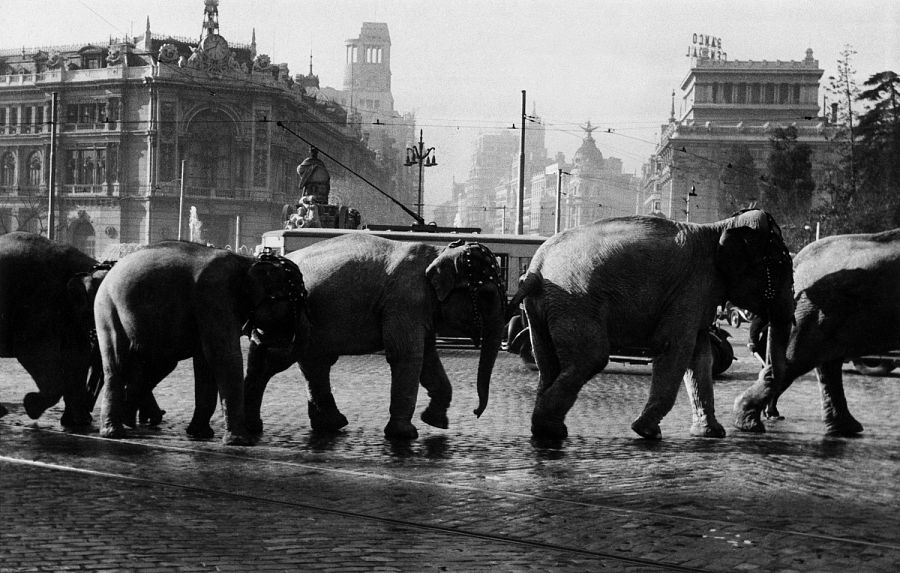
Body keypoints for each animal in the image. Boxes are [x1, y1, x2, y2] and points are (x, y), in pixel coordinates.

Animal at [93, 239, 308, 444]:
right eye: (296, 301)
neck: (247, 261)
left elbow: (205, 363)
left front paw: (200, 434)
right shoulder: (214, 296)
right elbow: (223, 356)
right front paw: (241, 441)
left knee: (156, 365)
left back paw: (128, 420)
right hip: (108, 310)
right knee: (118, 364)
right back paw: (114, 432)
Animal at [243, 232, 510, 438]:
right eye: (486, 295)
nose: (476, 413)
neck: (438, 252)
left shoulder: (421, 310)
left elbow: (427, 357)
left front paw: (435, 421)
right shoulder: (405, 301)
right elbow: (407, 354)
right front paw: (406, 434)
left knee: (309, 362)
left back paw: (327, 425)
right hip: (286, 317)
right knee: (285, 359)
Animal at [512, 209, 796, 438]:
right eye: (781, 264)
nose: (756, 425)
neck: (721, 226)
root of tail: (536, 269)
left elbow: (700, 357)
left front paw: (711, 434)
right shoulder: (691, 288)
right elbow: (676, 348)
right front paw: (647, 432)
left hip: (544, 311)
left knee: (549, 364)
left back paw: (546, 430)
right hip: (575, 303)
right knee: (590, 359)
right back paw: (551, 431)